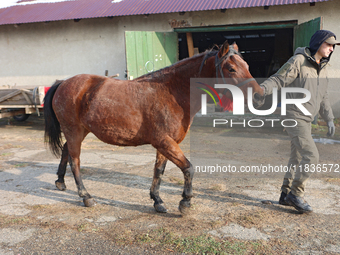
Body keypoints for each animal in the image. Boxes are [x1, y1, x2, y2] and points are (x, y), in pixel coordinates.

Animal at [43, 40, 264, 214]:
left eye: (247, 64)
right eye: (231, 68)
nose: (259, 96)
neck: (172, 92)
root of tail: (63, 82)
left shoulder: (165, 144)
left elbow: (159, 171)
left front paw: (157, 201)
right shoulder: (164, 141)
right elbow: (188, 168)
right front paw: (185, 202)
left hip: (80, 131)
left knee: (66, 151)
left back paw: (60, 182)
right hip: (74, 130)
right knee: (75, 162)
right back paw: (86, 196)